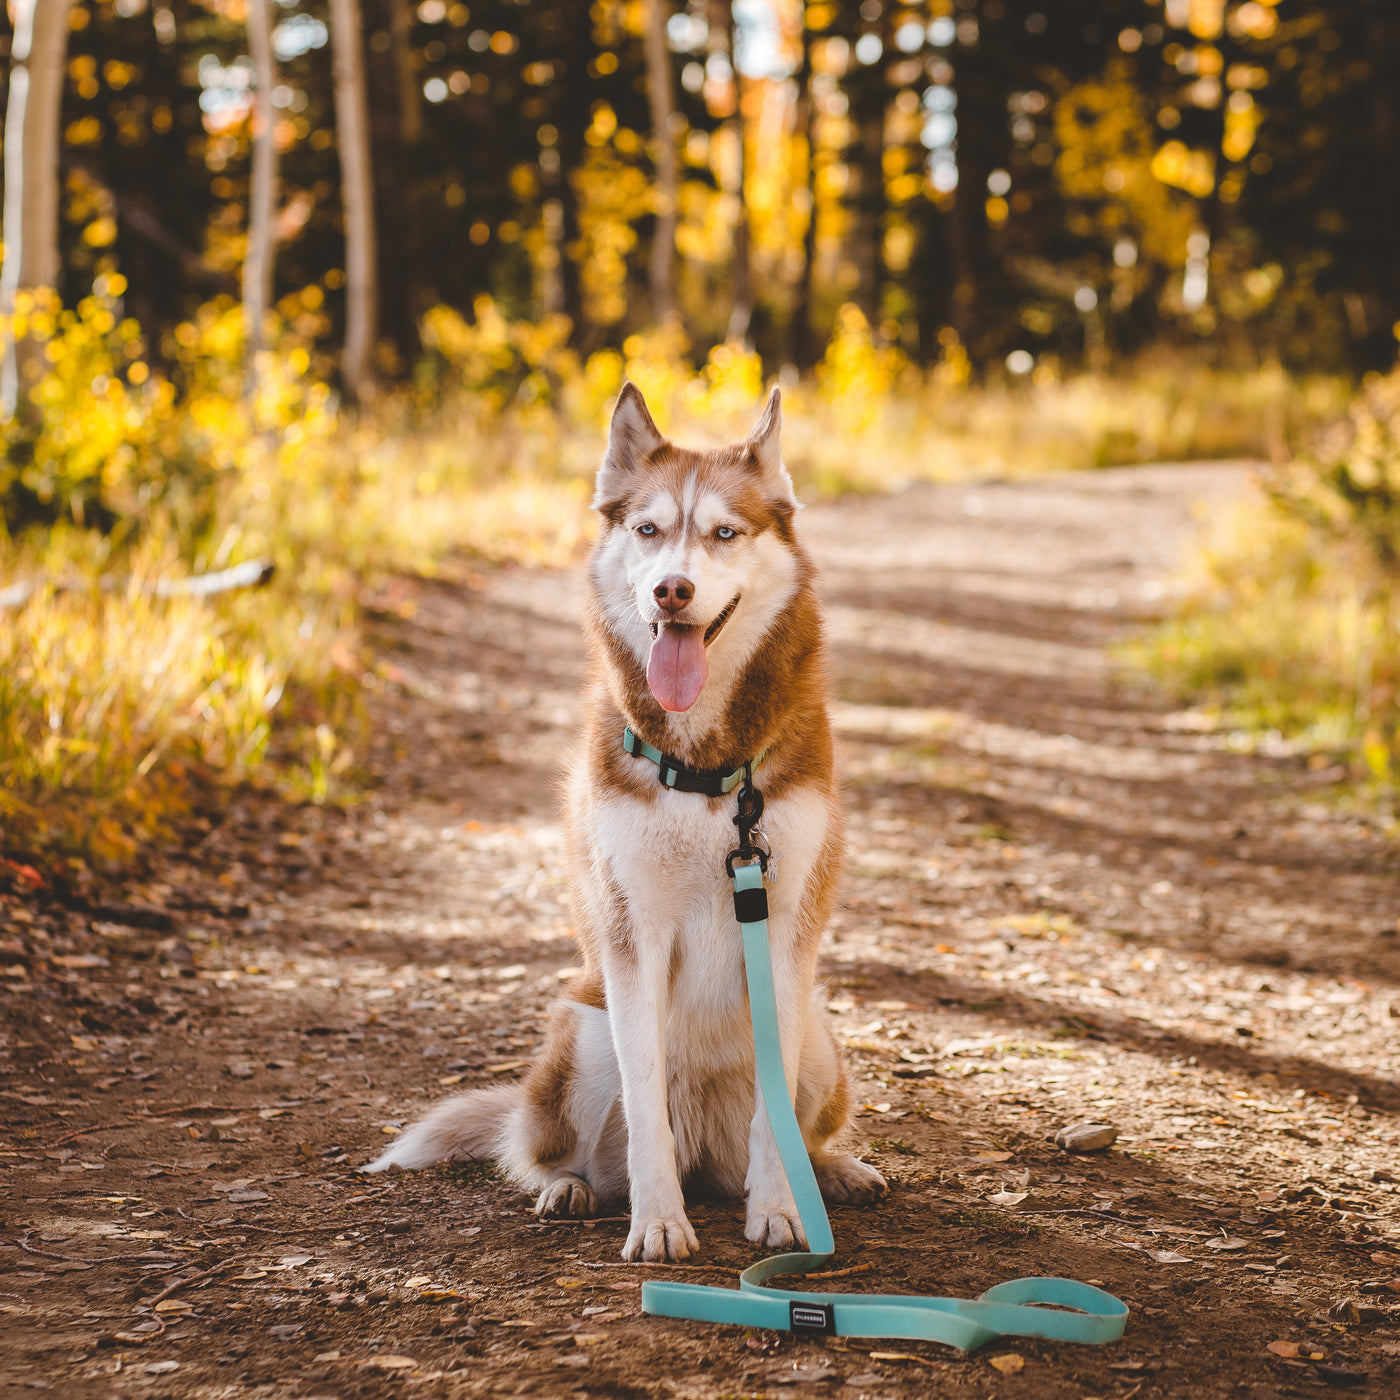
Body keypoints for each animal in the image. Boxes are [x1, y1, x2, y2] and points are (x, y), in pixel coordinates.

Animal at [366, 380, 879, 1260]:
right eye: (648, 531)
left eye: (724, 533)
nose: (672, 589)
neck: (705, 768)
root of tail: (708, 1154)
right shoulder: (633, 932)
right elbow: (644, 1117)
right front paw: (658, 1221)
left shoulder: (784, 929)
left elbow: (773, 1122)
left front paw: (782, 1212)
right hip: (579, 1039)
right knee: (534, 1146)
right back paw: (569, 1188)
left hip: (819, 1039)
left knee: (794, 1124)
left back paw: (832, 1173)